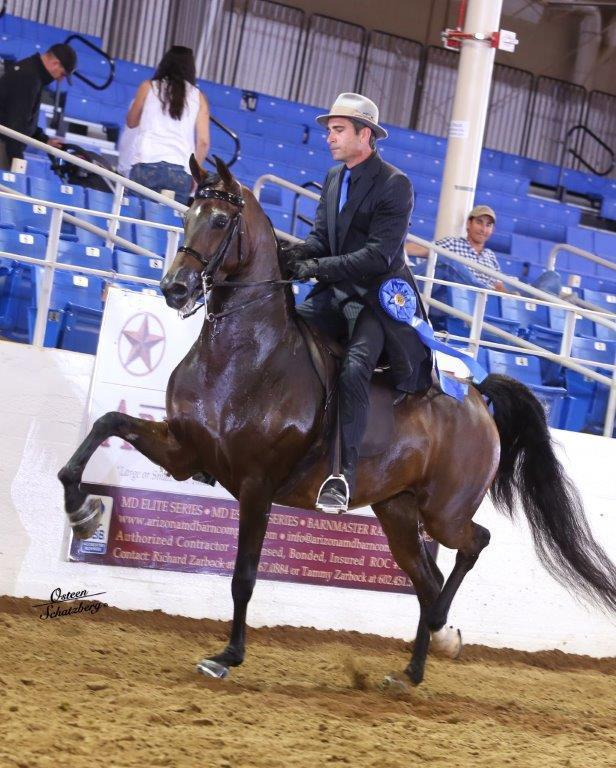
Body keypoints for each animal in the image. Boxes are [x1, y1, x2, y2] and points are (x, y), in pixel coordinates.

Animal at [58, 156, 616, 686]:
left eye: (219, 220)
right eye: (184, 216)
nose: (174, 289)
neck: (244, 355)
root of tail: (478, 397)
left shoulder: (257, 485)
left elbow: (243, 576)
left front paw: (227, 657)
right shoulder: (184, 452)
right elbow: (105, 425)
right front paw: (83, 511)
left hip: (444, 512)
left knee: (473, 545)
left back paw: (441, 631)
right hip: (397, 512)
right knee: (427, 580)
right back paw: (411, 670)